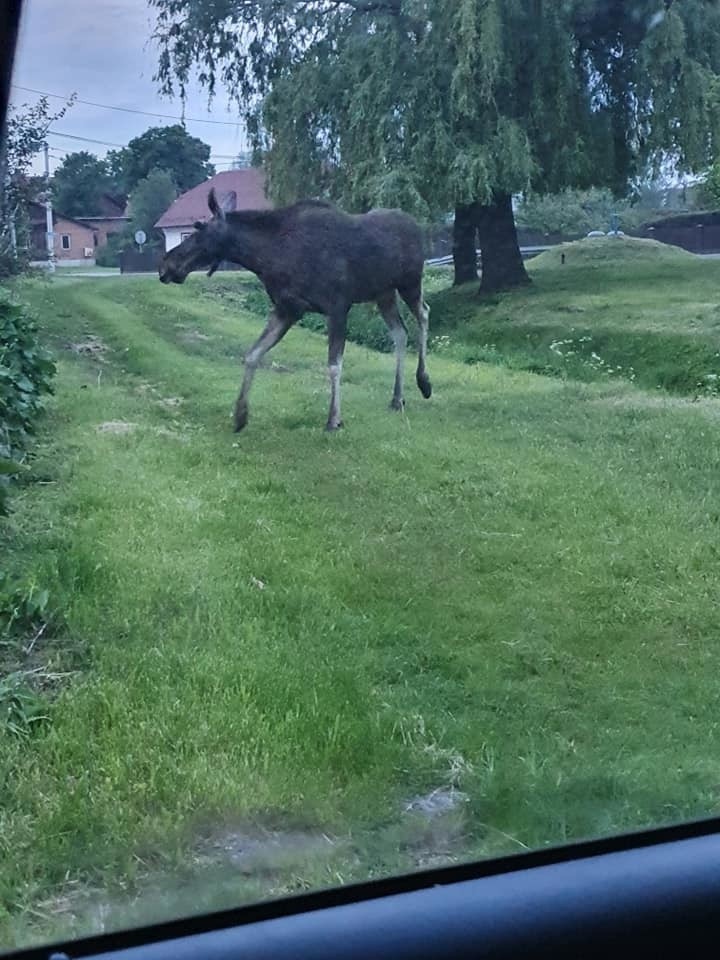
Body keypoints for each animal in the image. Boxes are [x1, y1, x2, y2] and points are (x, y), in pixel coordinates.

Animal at [160, 191, 430, 432]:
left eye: (199, 230)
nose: (166, 265)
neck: (266, 257)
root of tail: (417, 227)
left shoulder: (337, 306)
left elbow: (334, 365)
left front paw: (334, 419)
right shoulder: (287, 309)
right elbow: (252, 354)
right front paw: (240, 415)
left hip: (409, 283)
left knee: (424, 314)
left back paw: (424, 382)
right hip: (384, 294)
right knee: (400, 333)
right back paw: (397, 398)